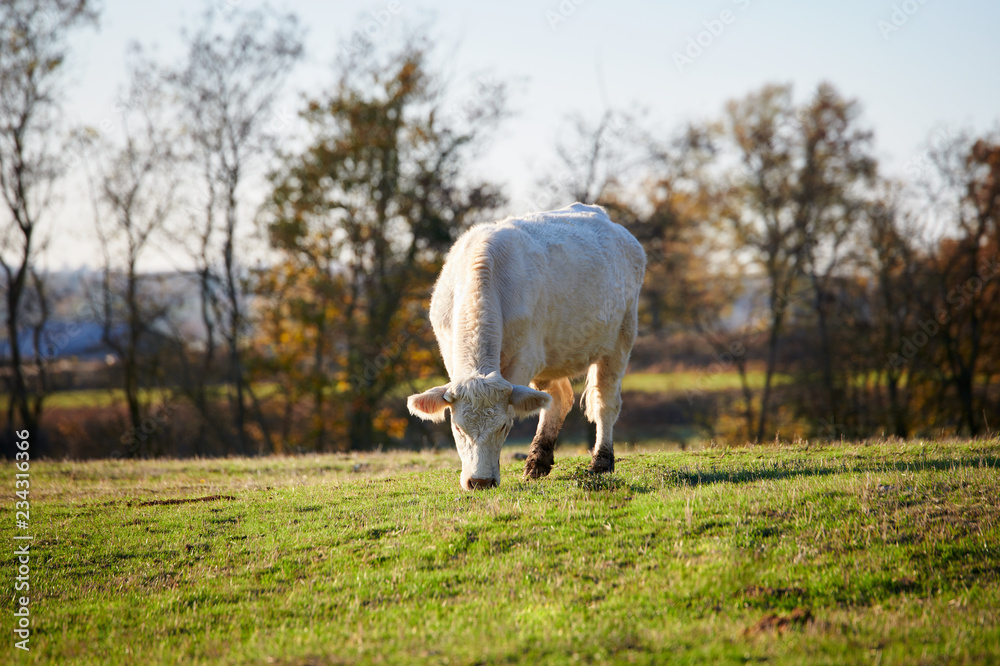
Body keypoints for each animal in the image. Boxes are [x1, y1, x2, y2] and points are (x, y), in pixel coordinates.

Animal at [407, 203, 646, 491]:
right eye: (458, 428)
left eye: (503, 426)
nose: (479, 481)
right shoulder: (450, 355)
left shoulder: (522, 359)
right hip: (554, 355)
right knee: (559, 398)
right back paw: (537, 461)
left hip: (621, 336)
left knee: (605, 401)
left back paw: (601, 462)